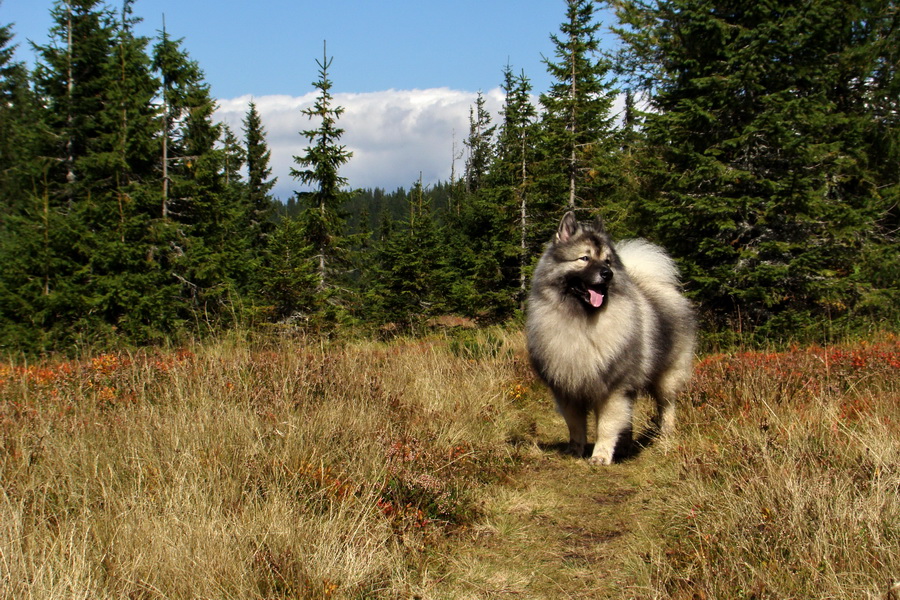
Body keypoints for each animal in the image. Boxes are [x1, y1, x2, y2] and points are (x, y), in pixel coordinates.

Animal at [528, 211, 696, 464]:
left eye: (607, 261)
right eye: (584, 258)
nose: (608, 274)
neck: (581, 321)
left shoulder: (612, 388)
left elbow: (606, 427)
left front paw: (600, 456)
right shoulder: (567, 389)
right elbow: (575, 426)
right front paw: (575, 451)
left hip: (667, 376)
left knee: (667, 406)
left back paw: (665, 436)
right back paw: (625, 445)